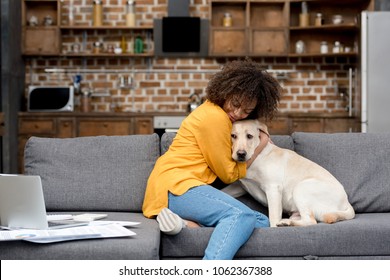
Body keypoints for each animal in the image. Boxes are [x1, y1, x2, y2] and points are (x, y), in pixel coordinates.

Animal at [225, 118, 356, 228]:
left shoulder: (273, 188)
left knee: (311, 221)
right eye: (233, 136)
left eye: (249, 136)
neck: (256, 155)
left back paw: (285, 223)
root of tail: (347, 203)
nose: (241, 154)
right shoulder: (239, 186)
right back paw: (287, 222)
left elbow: (273, 217)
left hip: (301, 188)